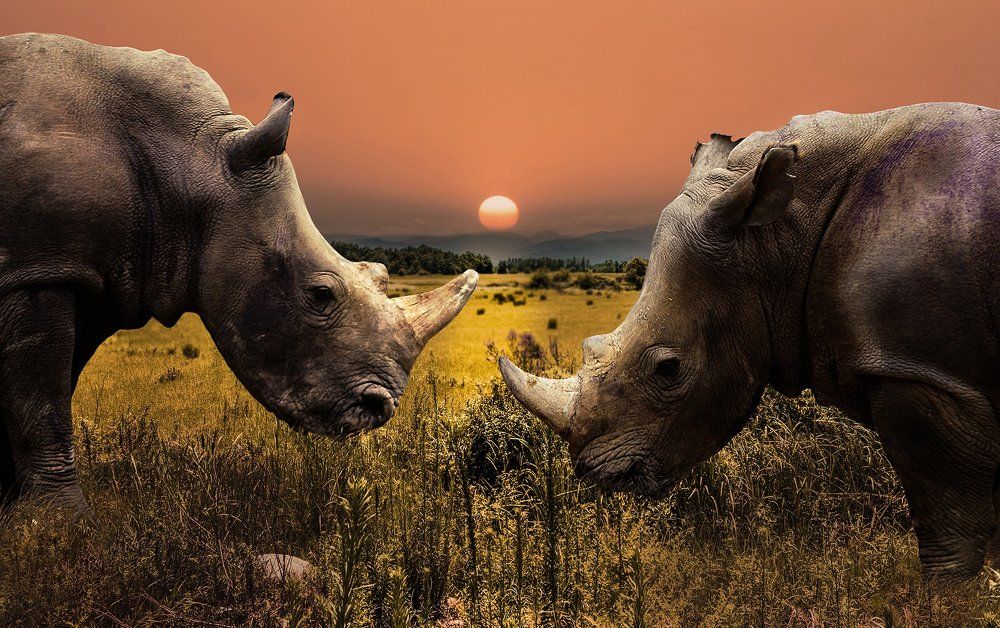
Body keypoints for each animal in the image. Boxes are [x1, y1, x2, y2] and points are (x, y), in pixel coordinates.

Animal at [0, 33, 478, 512]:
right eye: (320, 294)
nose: (380, 408)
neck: (192, 161)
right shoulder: (40, 267)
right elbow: (42, 401)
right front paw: (64, 517)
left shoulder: (94, 273)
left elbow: (50, 387)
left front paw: (14, 506)